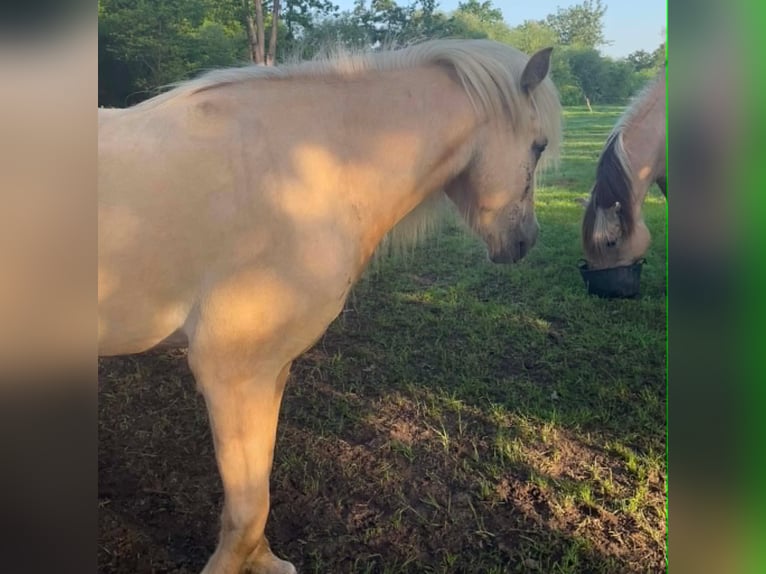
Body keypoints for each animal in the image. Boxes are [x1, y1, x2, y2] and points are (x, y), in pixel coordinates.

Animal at [98, 39, 562, 574]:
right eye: (539, 145)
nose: (526, 240)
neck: (302, 170)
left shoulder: (269, 370)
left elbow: (258, 484)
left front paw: (264, 561)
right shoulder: (231, 370)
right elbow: (248, 505)